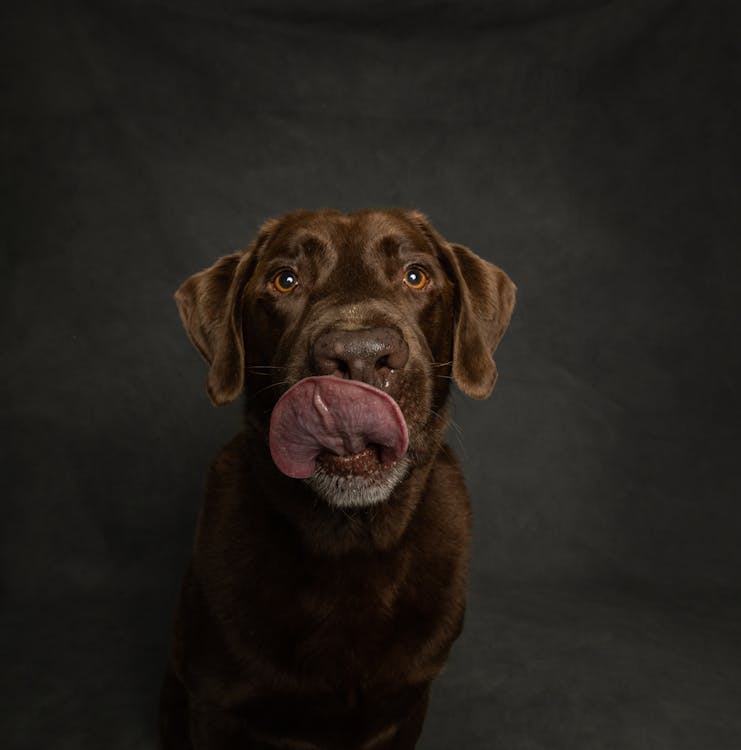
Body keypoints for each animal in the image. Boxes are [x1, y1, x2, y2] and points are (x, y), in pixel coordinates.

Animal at [158, 209, 512, 748]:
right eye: (285, 280)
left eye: (415, 276)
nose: (360, 353)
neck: (350, 537)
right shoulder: (215, 704)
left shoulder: (406, 705)